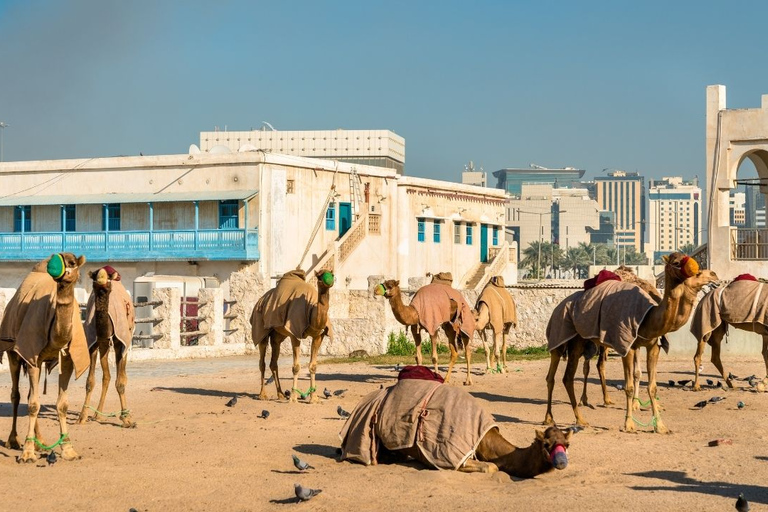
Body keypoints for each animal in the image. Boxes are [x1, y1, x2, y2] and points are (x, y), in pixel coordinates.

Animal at [0, 254, 90, 462]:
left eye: (72, 262)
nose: (56, 267)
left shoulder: (67, 360)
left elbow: (61, 404)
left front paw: (68, 449)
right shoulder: (32, 355)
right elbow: (33, 404)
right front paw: (27, 453)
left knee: (30, 395)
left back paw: (39, 442)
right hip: (12, 351)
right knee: (17, 394)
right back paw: (14, 441)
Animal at [77, 266, 136, 426]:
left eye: (108, 279)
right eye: (95, 277)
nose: (101, 279)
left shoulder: (120, 343)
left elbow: (120, 382)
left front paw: (126, 418)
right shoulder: (94, 344)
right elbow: (90, 382)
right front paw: (82, 416)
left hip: (127, 338)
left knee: (122, 375)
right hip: (104, 345)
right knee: (107, 376)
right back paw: (98, 414)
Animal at [252, 268, 332, 404]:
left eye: (331, 274)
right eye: (319, 276)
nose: (329, 281)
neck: (311, 310)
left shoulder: (318, 335)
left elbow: (313, 366)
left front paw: (314, 398)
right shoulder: (295, 333)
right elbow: (296, 367)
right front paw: (293, 398)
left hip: (278, 335)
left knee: (274, 361)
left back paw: (280, 394)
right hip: (261, 327)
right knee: (262, 361)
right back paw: (263, 395)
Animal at [342, 372, 568, 480]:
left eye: (566, 444)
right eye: (546, 444)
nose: (561, 462)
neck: (485, 438)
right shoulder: (452, 453)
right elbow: (491, 467)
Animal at [544, 252, 716, 432]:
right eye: (676, 262)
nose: (713, 275)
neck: (649, 316)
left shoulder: (652, 346)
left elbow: (652, 386)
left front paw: (660, 426)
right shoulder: (628, 346)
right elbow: (630, 385)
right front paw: (629, 423)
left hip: (581, 342)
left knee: (568, 377)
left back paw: (577, 418)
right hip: (560, 334)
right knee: (555, 374)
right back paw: (557, 418)